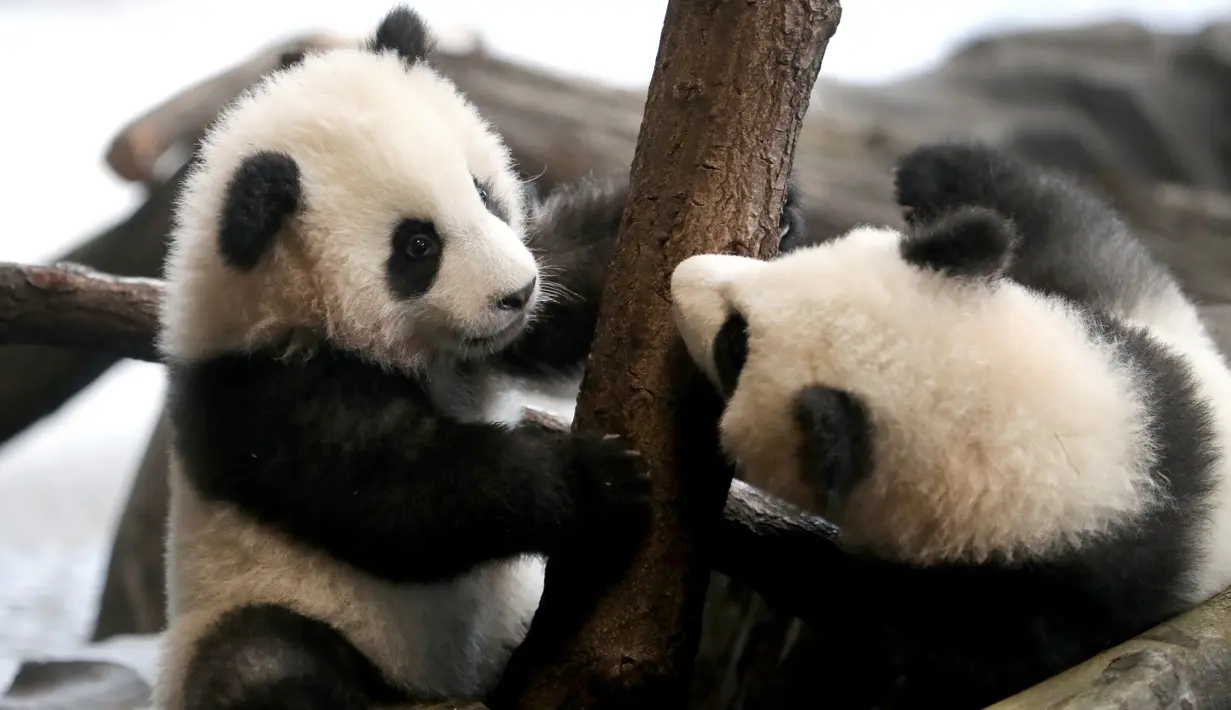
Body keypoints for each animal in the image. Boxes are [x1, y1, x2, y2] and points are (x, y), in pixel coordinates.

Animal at [669, 141, 1231, 709]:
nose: (680, 275)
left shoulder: (1030, 606)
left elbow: (850, 608)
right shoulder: (1139, 356)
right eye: (785, 269)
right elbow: (1070, 232)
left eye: (735, 345)